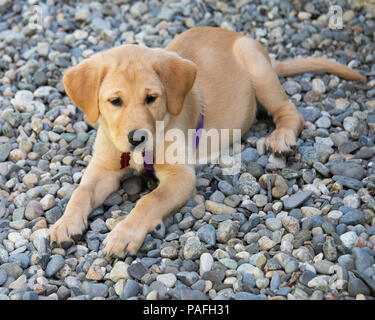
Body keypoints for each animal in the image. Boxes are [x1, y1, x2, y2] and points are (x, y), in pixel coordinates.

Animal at [48, 26, 366, 258]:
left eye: (151, 98)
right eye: (115, 101)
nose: (137, 138)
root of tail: (235, 36)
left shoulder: (180, 175)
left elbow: (150, 201)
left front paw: (124, 235)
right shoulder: (103, 169)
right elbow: (80, 193)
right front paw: (65, 224)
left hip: (258, 69)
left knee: (289, 111)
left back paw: (281, 138)